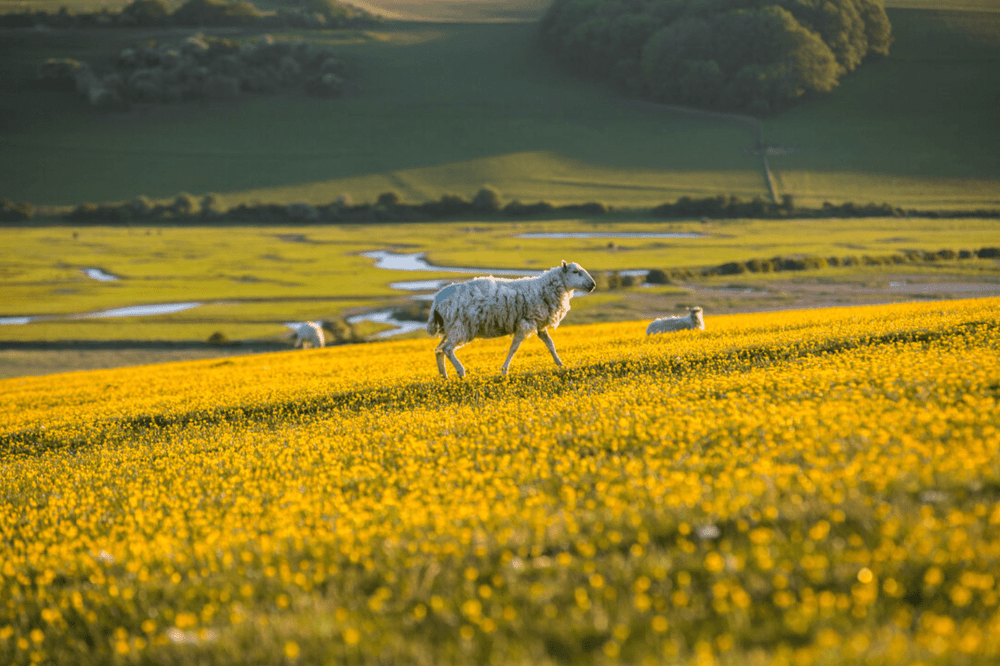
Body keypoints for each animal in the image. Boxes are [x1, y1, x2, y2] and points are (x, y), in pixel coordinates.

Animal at [428, 262, 596, 382]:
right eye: (575, 272)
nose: (593, 285)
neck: (545, 288)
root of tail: (436, 300)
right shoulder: (525, 323)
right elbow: (514, 348)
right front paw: (504, 371)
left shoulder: (538, 324)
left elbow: (550, 345)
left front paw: (560, 364)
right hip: (460, 327)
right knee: (447, 349)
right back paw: (461, 372)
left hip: (451, 328)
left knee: (438, 350)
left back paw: (444, 377)